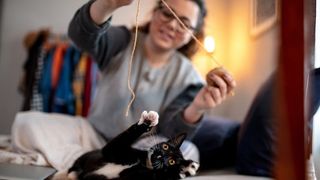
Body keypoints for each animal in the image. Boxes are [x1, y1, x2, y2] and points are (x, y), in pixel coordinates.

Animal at [64, 111, 199, 180]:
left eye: (171, 161)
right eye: (165, 147)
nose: (160, 155)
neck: (144, 162)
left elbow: (158, 175)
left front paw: (186, 168)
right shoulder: (112, 150)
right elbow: (124, 136)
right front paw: (148, 121)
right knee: (74, 167)